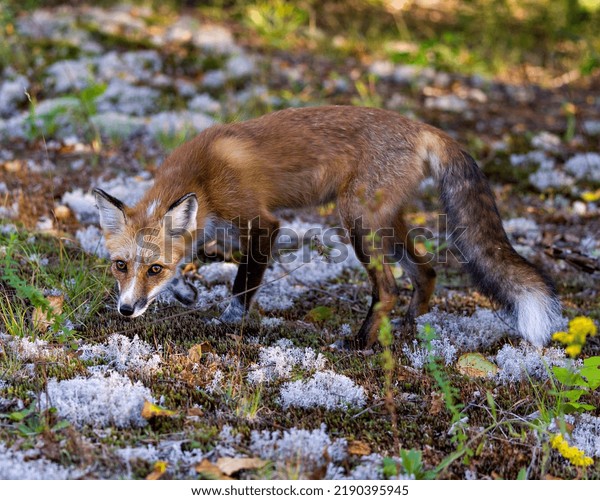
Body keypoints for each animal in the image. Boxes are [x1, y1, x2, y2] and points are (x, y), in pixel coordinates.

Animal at [91, 105, 560, 348]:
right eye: (120, 266)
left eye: (153, 269)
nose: (126, 310)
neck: (202, 179)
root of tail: (422, 126)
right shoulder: (212, 229)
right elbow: (201, 254)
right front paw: (186, 289)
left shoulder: (263, 223)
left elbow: (242, 285)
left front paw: (228, 321)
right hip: (384, 223)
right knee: (426, 272)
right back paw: (410, 328)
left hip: (355, 221)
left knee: (389, 288)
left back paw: (360, 344)